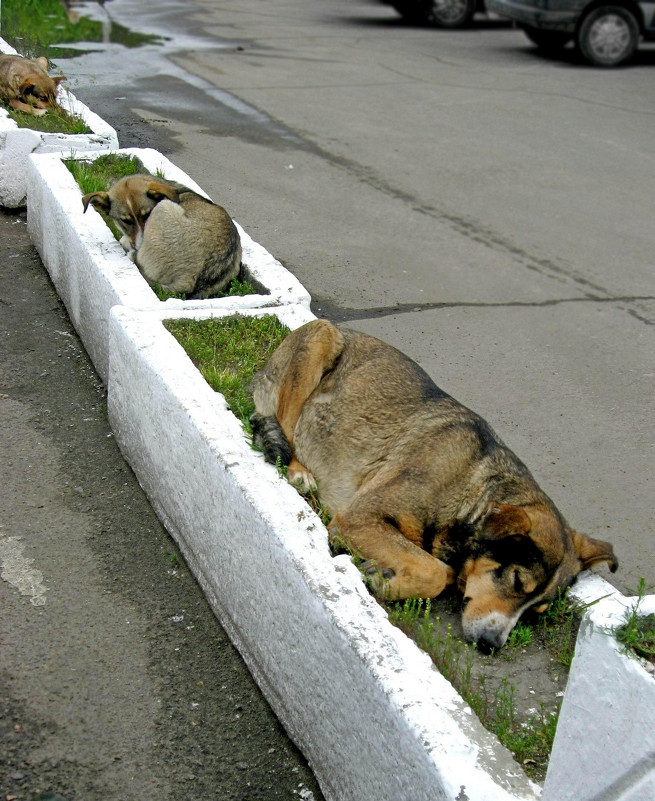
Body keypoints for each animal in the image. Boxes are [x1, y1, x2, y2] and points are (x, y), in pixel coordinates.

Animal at [249, 318, 616, 648]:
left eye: (534, 612)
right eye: (515, 581)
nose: (491, 645)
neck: (471, 491)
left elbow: (442, 571)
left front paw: (385, 575)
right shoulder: (359, 518)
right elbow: (436, 572)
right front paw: (383, 583)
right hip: (322, 337)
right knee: (282, 424)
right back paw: (297, 468)